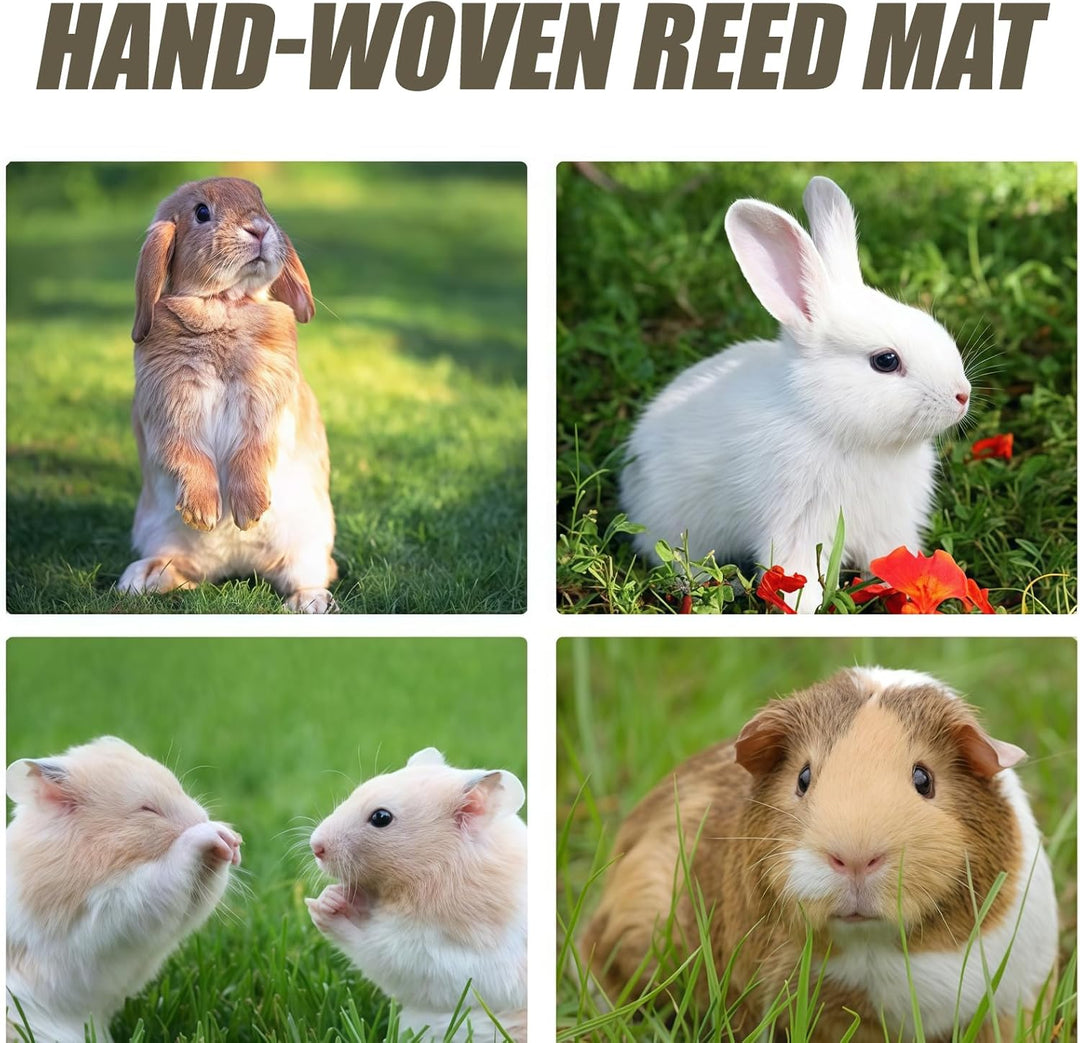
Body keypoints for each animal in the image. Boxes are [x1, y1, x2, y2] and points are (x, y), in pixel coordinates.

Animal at [5, 736, 242, 1043]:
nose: (203, 818)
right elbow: (166, 872)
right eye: (147, 809)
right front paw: (213, 833)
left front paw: (232, 840)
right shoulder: (105, 914)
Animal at [116, 177, 337, 613]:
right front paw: (204, 513)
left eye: (261, 202)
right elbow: (187, 453)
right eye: (202, 212)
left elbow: (252, 450)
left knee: (310, 574)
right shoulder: (170, 408)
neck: (223, 305)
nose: (259, 228)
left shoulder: (267, 404)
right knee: (184, 572)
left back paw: (311, 602)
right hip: (162, 537)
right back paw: (140, 578)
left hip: (308, 547)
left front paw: (249, 512)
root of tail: (235, 564)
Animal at [306, 747, 528, 1041]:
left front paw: (319, 909)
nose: (315, 846)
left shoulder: (438, 960)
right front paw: (329, 897)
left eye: (381, 817)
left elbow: (373, 947)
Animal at [620, 177, 972, 612]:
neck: (832, 425)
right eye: (886, 361)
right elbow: (796, 573)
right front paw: (805, 609)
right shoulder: (796, 526)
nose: (962, 395)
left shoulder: (889, 528)